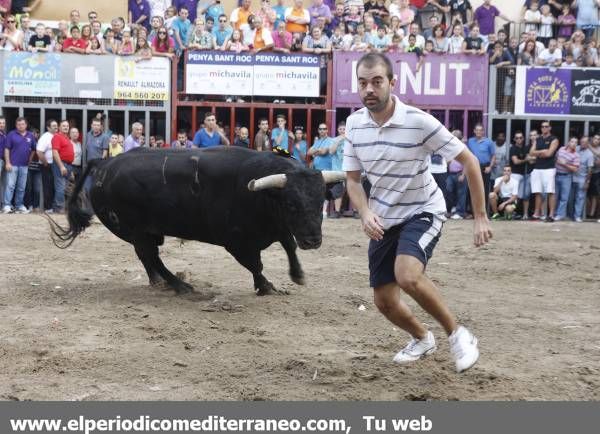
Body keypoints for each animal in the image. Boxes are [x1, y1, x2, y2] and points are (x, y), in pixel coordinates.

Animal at [50, 146, 346, 294]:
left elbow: (288, 245)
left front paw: (297, 275)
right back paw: (179, 285)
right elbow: (256, 264)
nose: (313, 240)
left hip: (143, 231)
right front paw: (266, 287)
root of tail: (104, 165)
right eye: (291, 204)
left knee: (148, 257)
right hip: (135, 229)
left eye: (319, 201)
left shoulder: (278, 227)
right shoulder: (236, 242)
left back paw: (159, 282)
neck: (263, 196)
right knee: (150, 255)